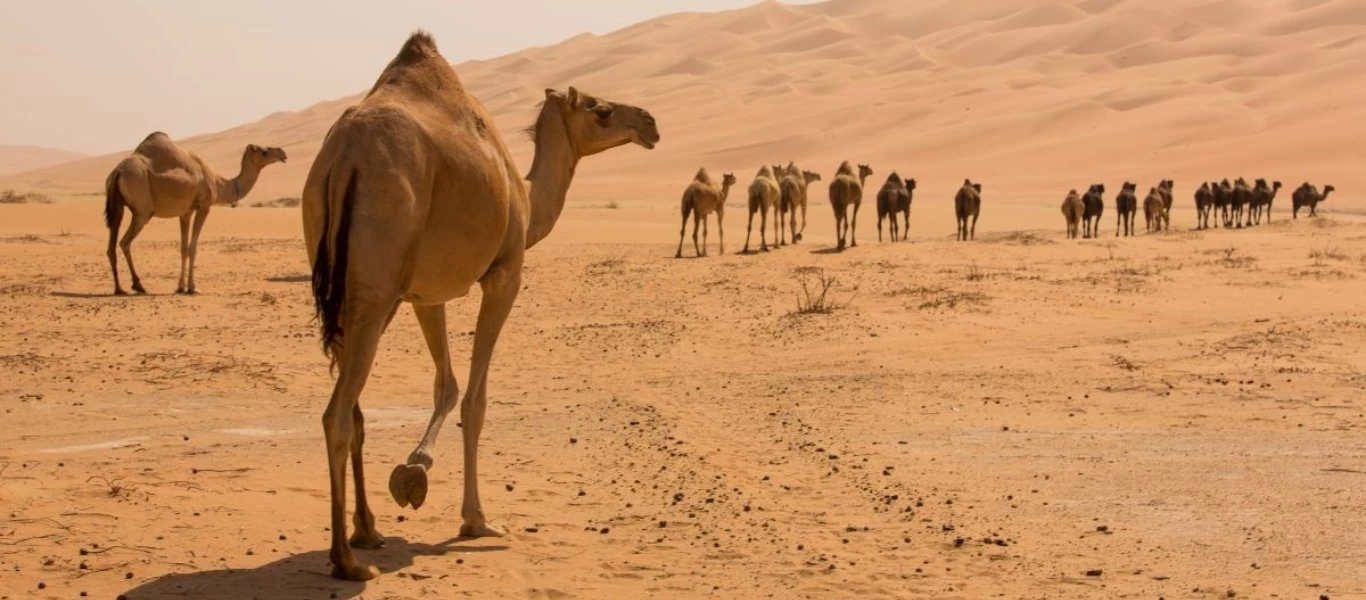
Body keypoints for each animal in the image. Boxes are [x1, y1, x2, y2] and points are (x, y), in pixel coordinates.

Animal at [102, 131, 286, 296]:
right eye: (264, 151)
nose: (282, 153)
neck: (219, 184)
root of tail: (118, 171)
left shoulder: (186, 212)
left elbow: (183, 248)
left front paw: (180, 287)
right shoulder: (204, 206)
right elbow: (193, 247)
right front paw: (192, 288)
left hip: (118, 206)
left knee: (111, 243)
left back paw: (119, 289)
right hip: (142, 211)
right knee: (125, 242)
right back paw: (138, 285)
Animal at [300, 32, 661, 582]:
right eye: (600, 110)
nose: (649, 121)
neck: (527, 197)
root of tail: (345, 157)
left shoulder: (424, 293)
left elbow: (444, 384)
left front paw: (412, 474)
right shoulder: (504, 275)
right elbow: (475, 399)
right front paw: (475, 519)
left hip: (350, 289)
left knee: (353, 408)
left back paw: (367, 531)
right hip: (375, 288)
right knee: (337, 415)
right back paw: (347, 561)